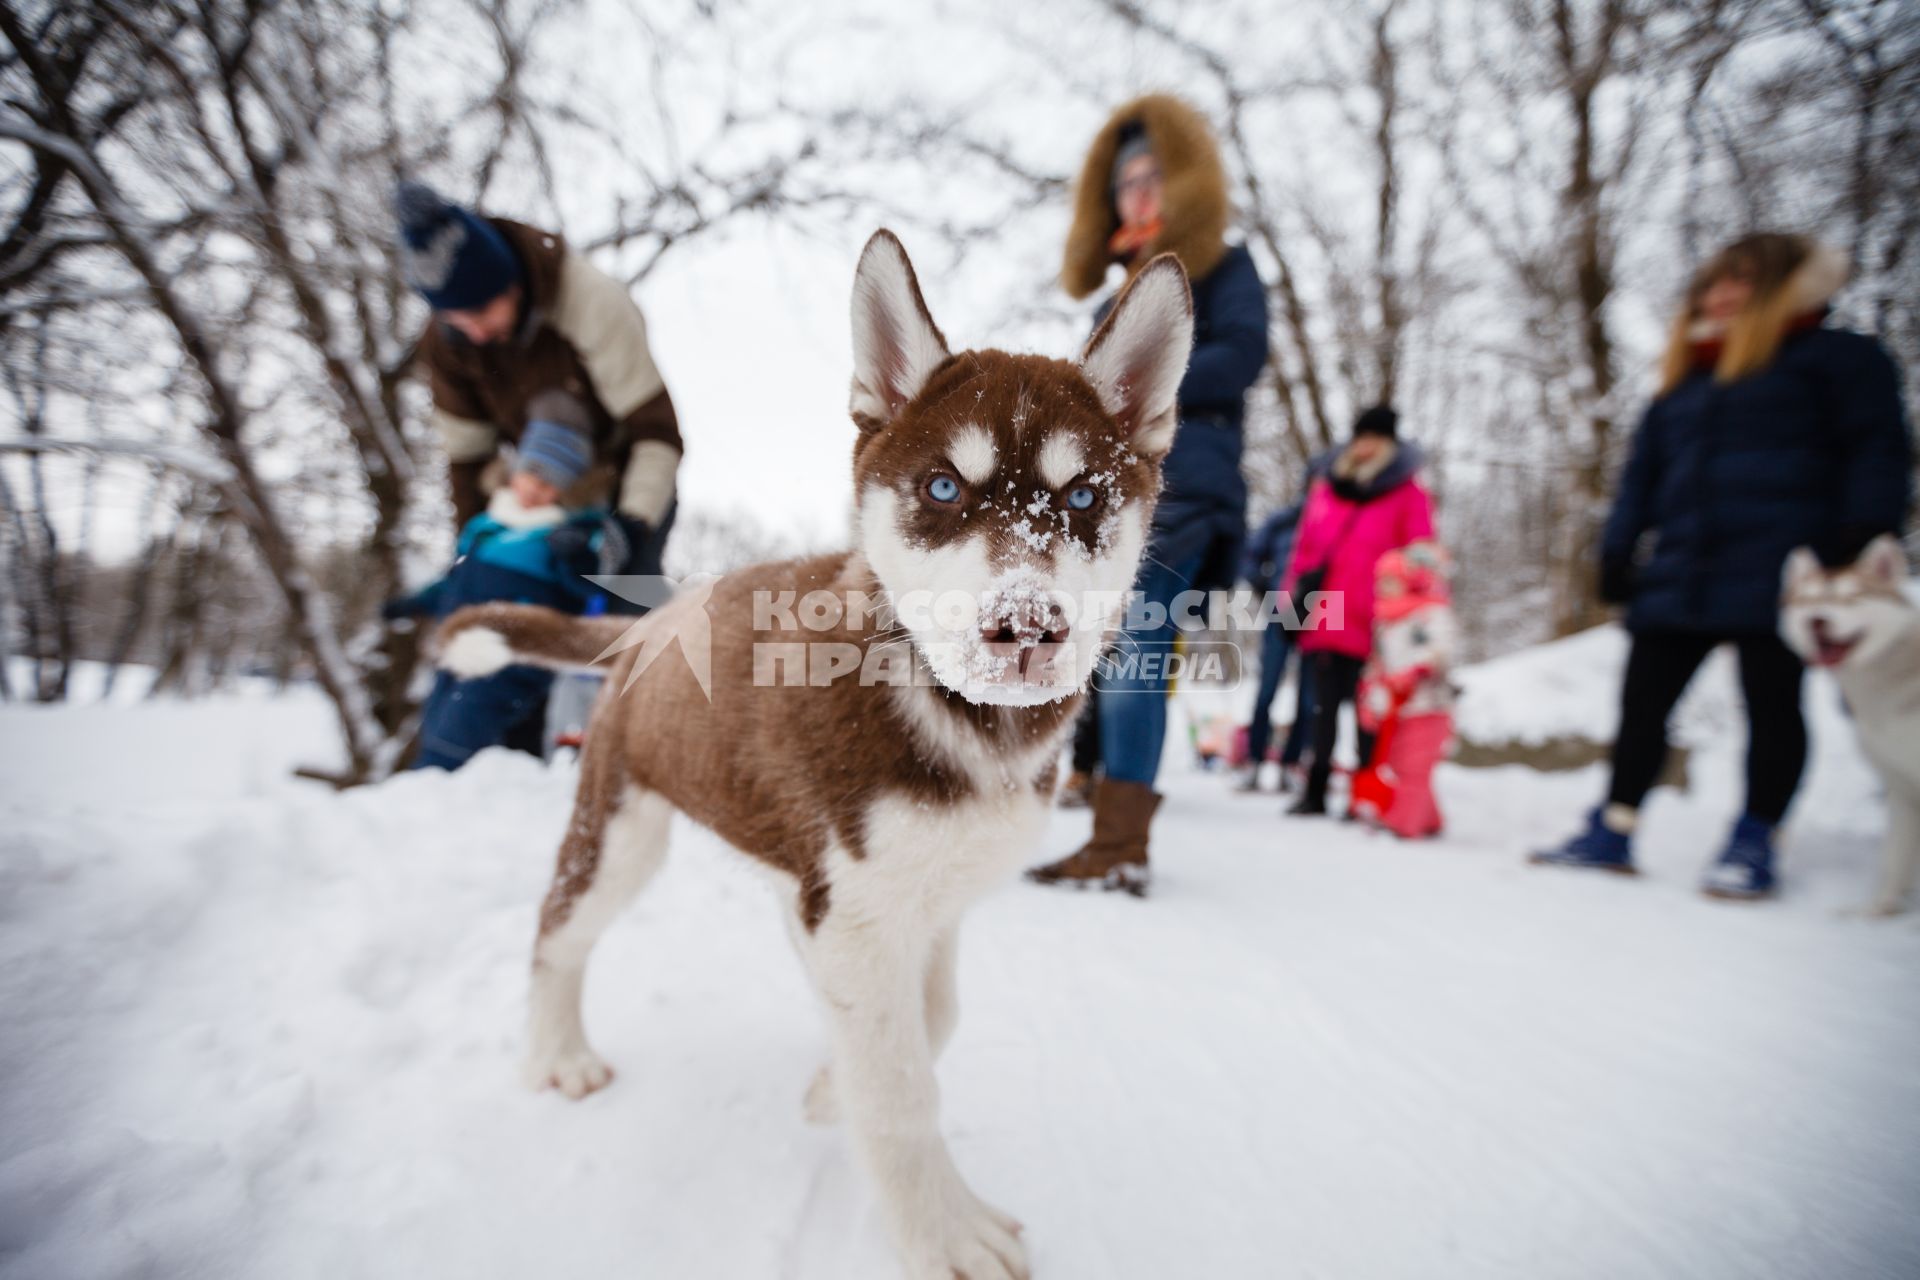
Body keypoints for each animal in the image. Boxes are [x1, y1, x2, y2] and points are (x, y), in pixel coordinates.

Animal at [435, 233, 1190, 1280]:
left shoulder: (913, 898)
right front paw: (941, 1229)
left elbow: (931, 1018)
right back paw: (558, 1054)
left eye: (1082, 496)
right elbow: (902, 1084)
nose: (1026, 629)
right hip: (622, 829)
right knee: (558, 929)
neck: (958, 714)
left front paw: (835, 1082)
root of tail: (646, 625)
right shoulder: (861, 911)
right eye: (943, 488)